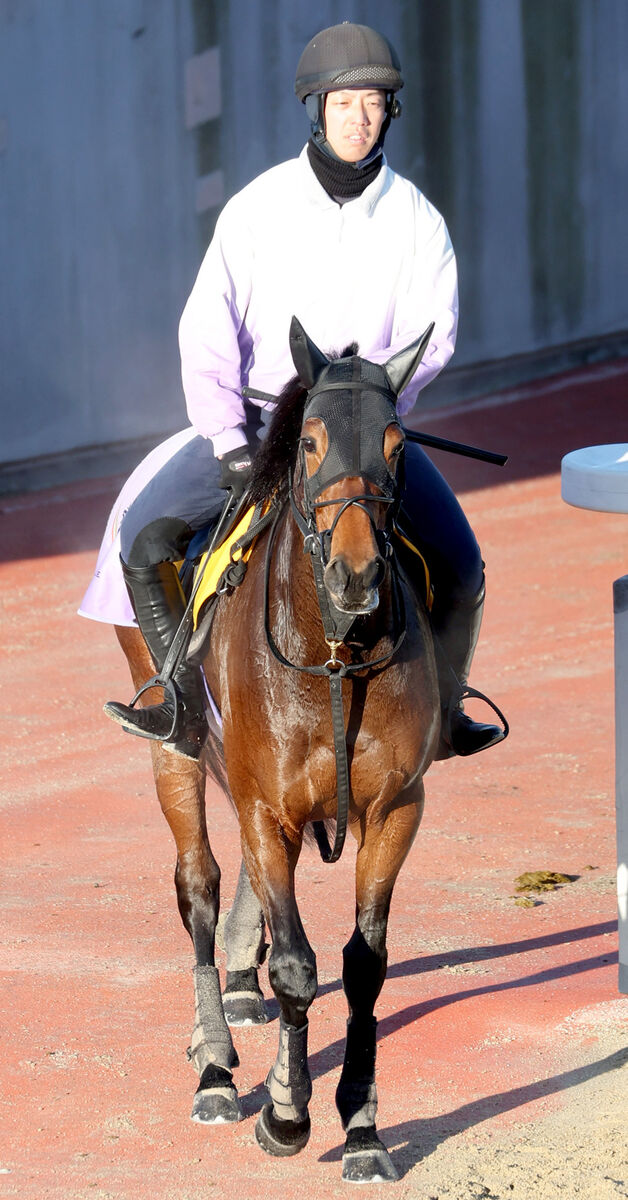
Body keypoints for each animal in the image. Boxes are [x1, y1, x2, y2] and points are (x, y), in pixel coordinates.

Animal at [114, 316, 437, 1180]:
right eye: (312, 440)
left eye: (397, 443)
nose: (357, 572)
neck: (331, 650)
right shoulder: (265, 808)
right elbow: (297, 965)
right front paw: (288, 1114)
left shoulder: (397, 809)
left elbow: (363, 966)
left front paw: (361, 1125)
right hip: (176, 748)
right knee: (197, 882)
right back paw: (218, 1069)